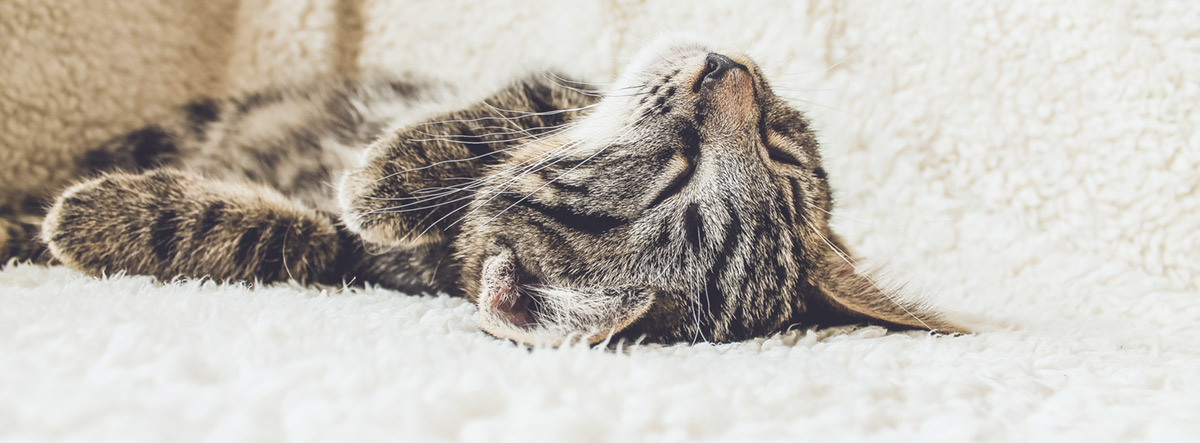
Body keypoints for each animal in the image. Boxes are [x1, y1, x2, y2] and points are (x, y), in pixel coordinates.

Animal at [0, 36, 964, 343]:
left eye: (675, 171)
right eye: (778, 143)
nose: (727, 69)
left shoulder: (353, 260)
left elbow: (296, 239)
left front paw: (93, 220)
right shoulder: (550, 82)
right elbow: (501, 114)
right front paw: (387, 173)